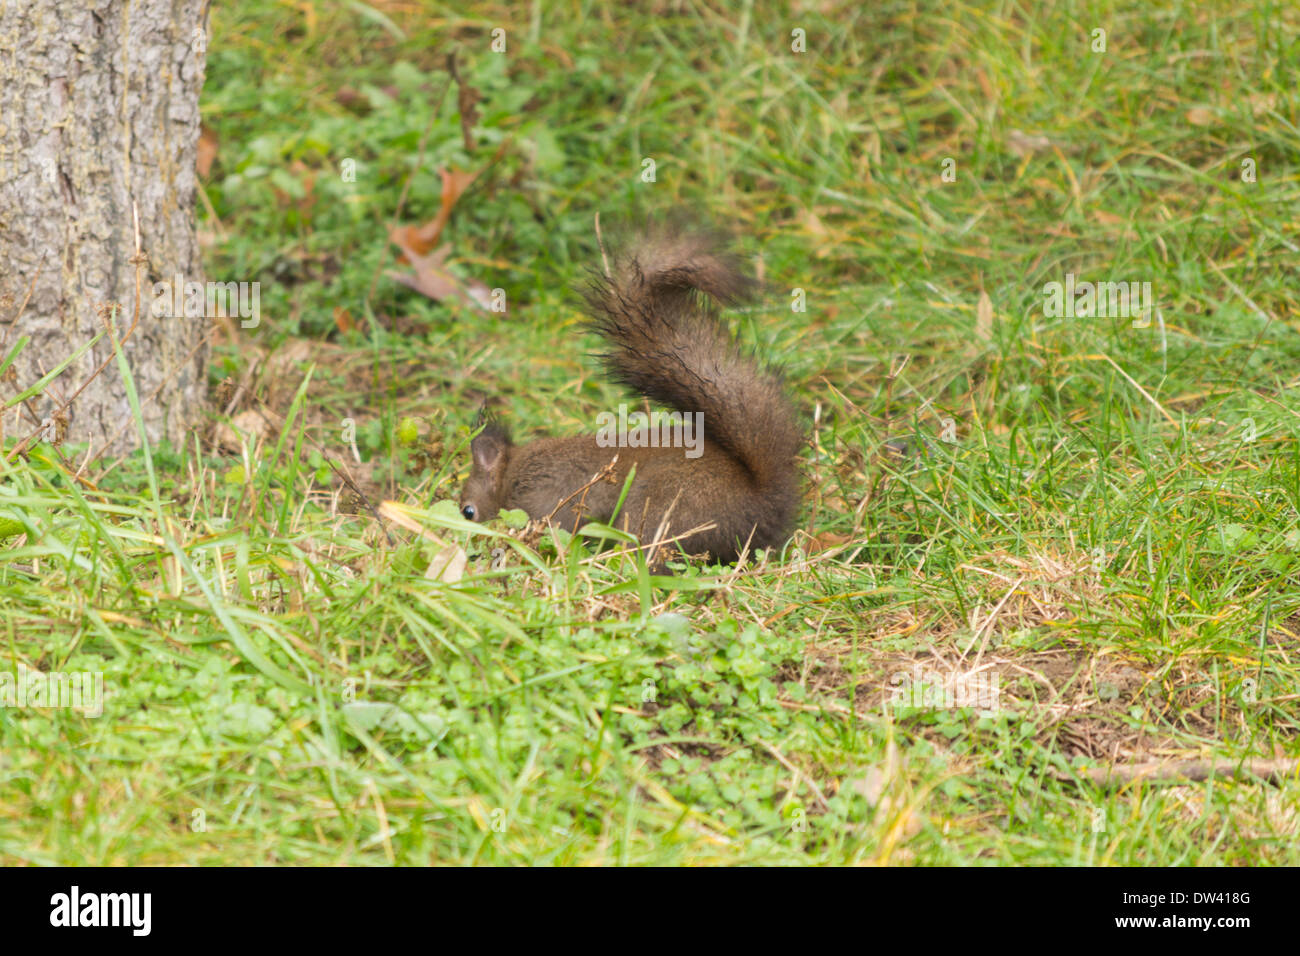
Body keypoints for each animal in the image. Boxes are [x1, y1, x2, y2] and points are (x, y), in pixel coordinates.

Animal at [459, 218, 802, 566]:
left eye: (467, 512)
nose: (461, 536)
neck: (509, 476)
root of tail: (762, 506)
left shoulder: (543, 501)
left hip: (662, 507)